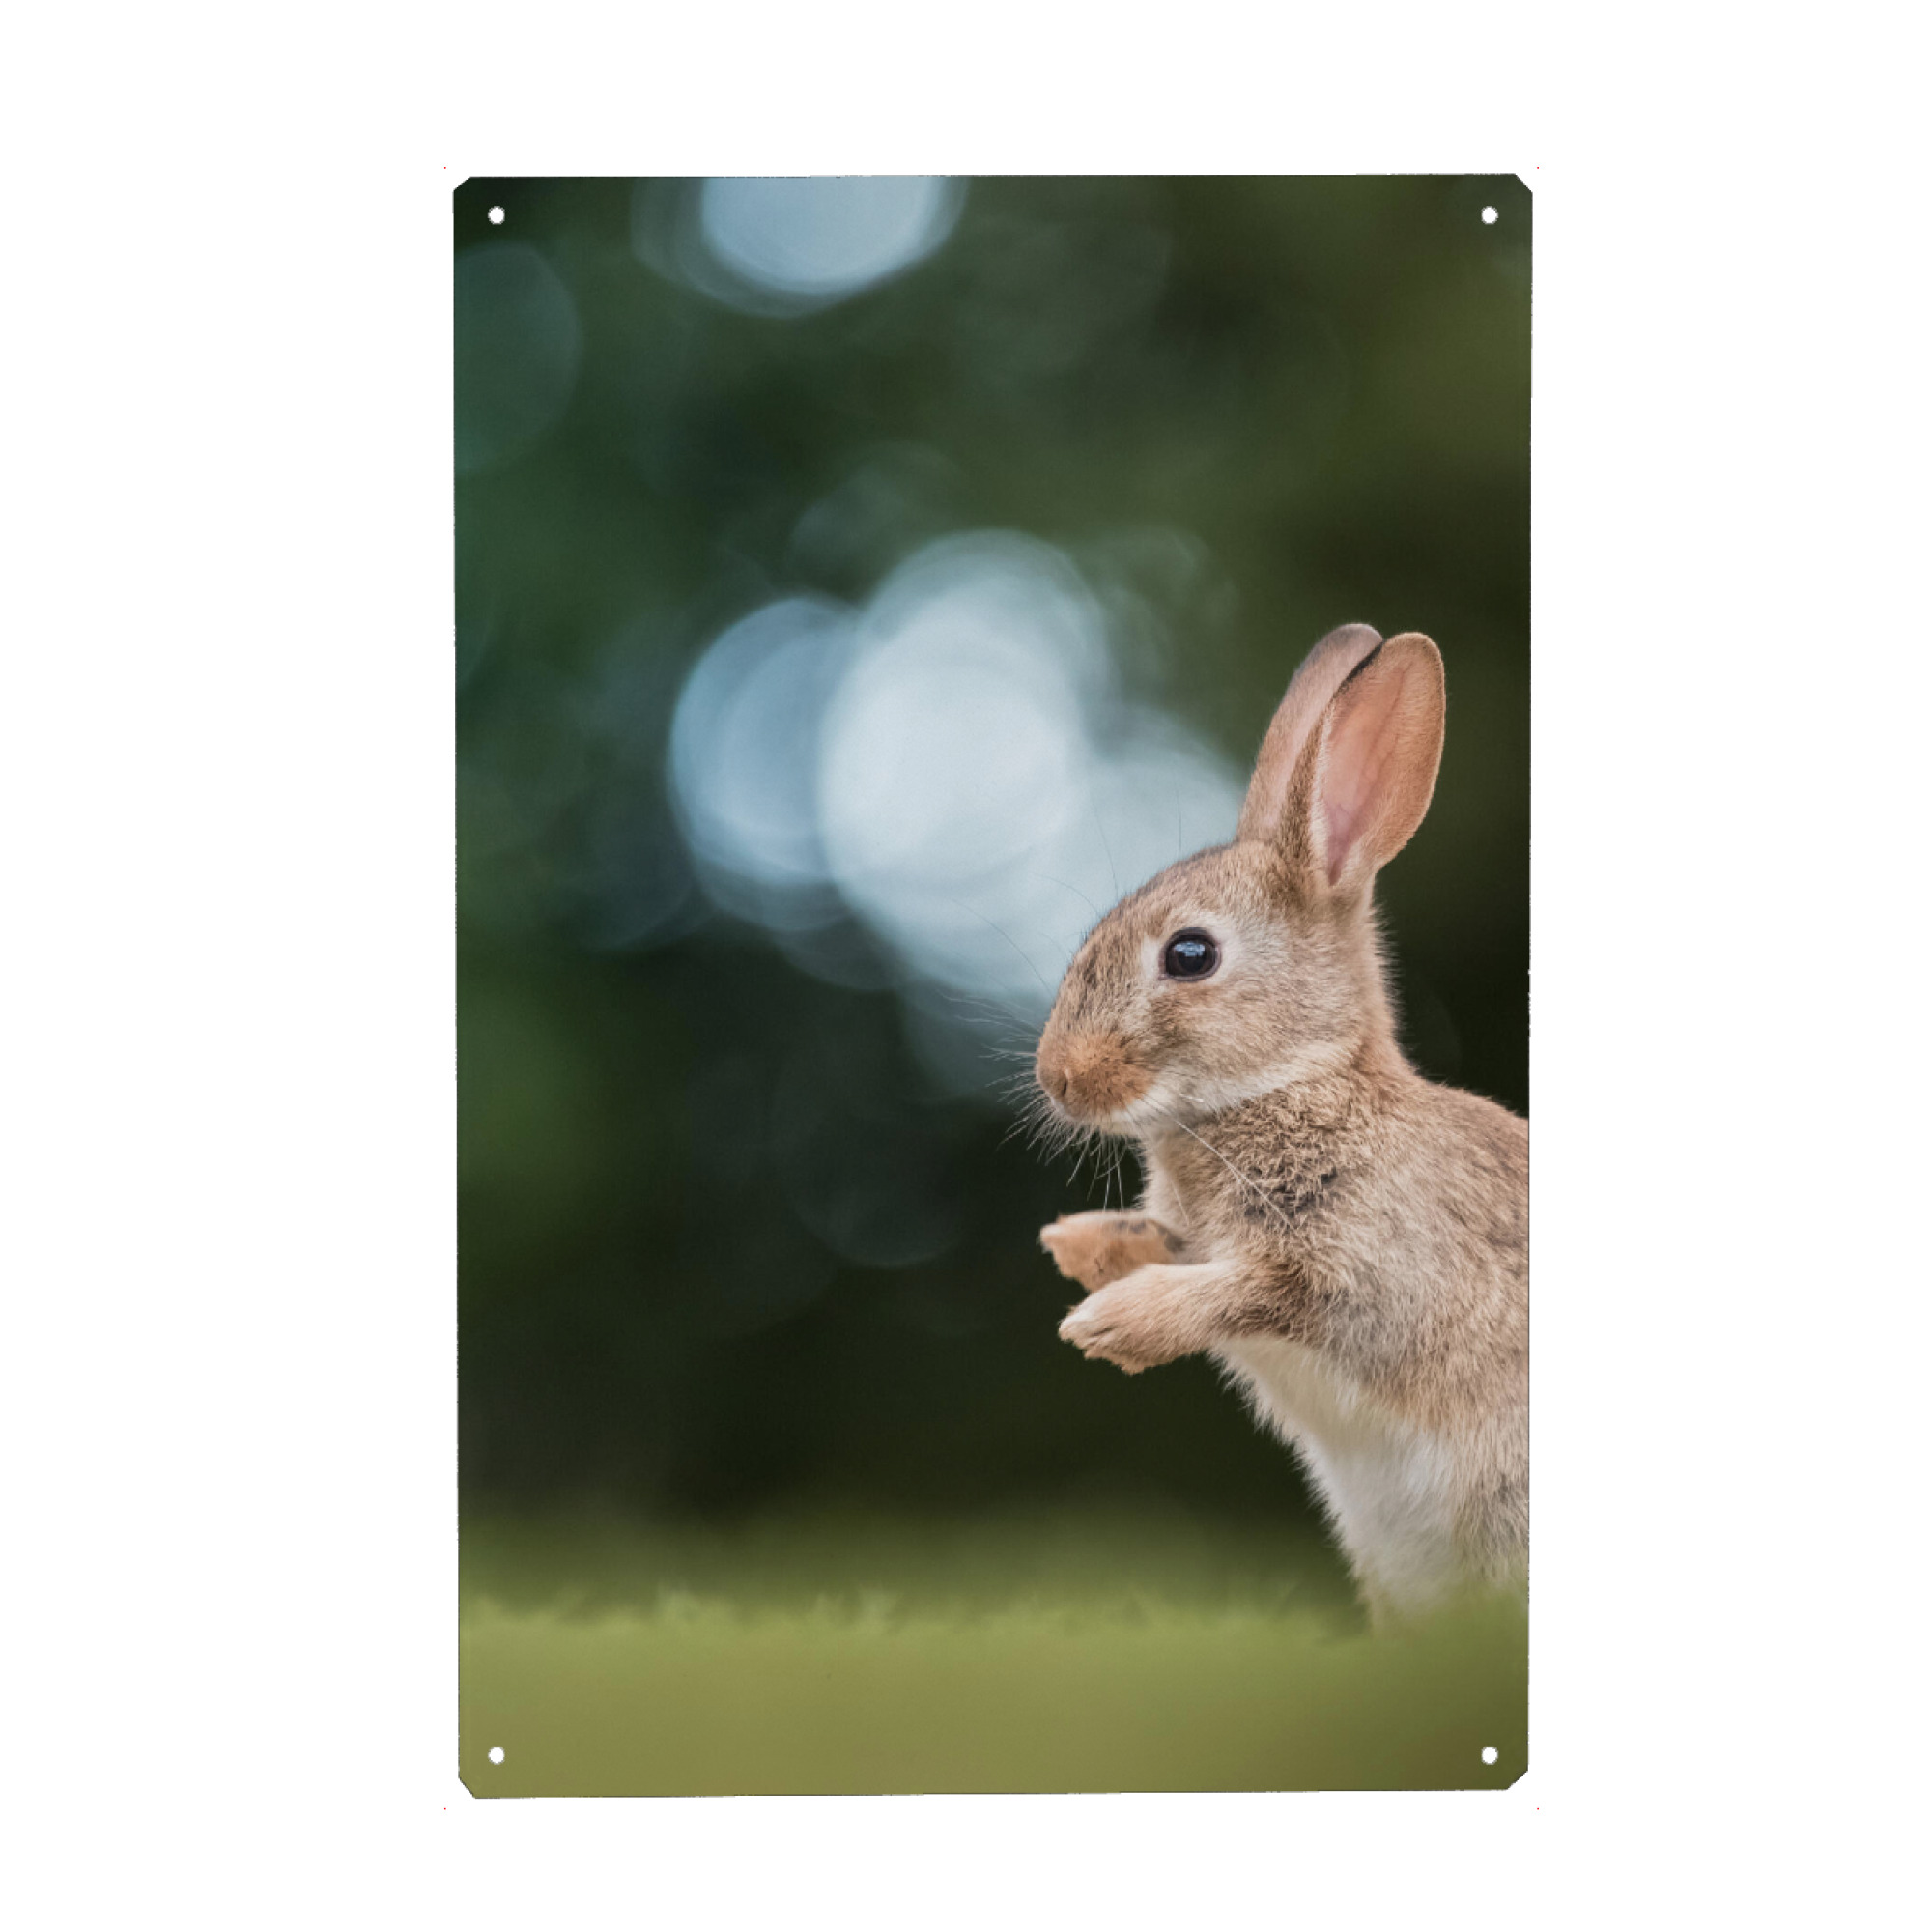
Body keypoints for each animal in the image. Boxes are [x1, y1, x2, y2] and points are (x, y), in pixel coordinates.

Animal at [1034, 624, 1527, 1627]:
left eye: (1190, 954)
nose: (1055, 1078)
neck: (1293, 1086)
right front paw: (1078, 1245)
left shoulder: (1361, 1272)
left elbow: (1248, 1291)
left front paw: (1108, 1325)